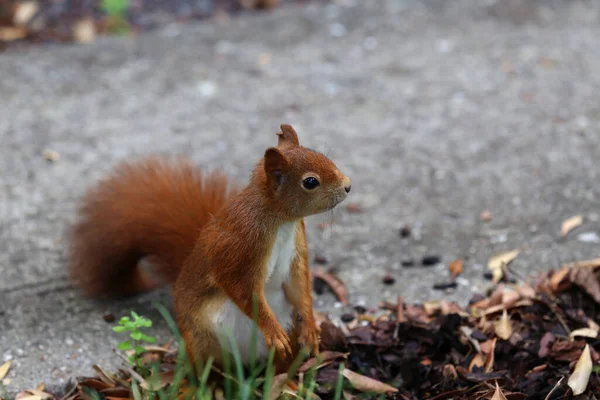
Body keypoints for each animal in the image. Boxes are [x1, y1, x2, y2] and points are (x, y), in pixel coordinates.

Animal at [67, 124, 352, 372]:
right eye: (310, 182)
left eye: (323, 157)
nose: (348, 185)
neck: (280, 220)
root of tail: (247, 360)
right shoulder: (241, 249)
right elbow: (242, 290)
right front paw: (271, 329)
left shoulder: (296, 248)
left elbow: (298, 287)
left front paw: (312, 327)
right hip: (201, 341)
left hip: (287, 331)